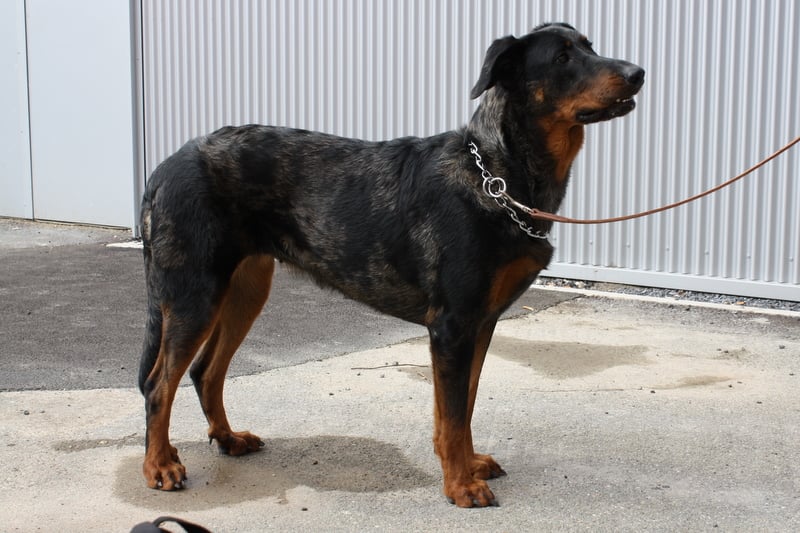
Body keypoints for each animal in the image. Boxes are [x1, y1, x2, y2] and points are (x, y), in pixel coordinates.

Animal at [138, 22, 643, 507]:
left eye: (590, 46)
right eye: (561, 58)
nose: (638, 72)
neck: (497, 174)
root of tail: (162, 169)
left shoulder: (480, 323)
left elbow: (462, 408)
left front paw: (466, 466)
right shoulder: (453, 326)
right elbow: (455, 413)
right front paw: (460, 487)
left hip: (245, 288)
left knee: (205, 371)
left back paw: (227, 439)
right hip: (195, 294)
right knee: (159, 384)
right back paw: (160, 466)